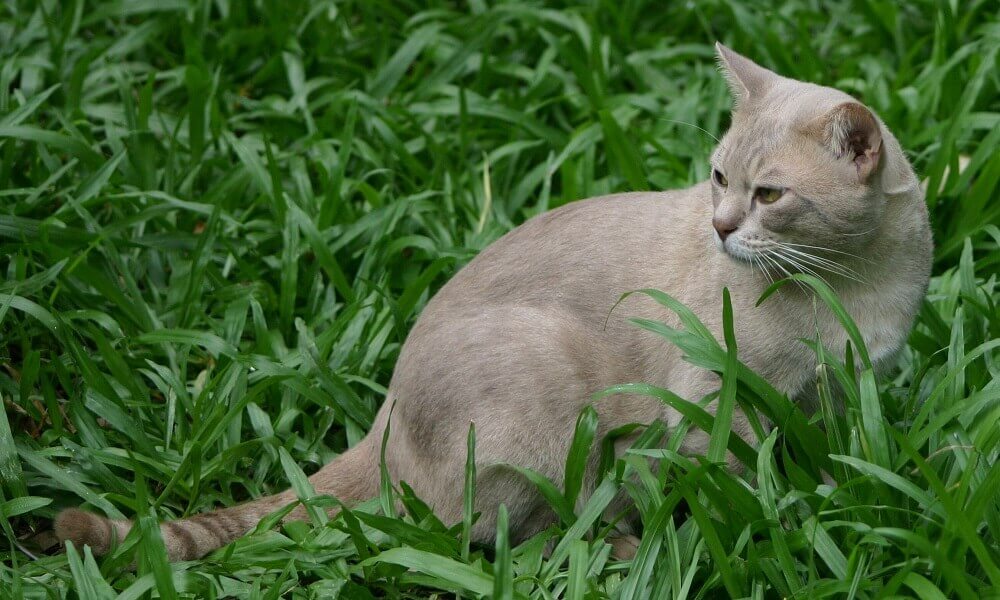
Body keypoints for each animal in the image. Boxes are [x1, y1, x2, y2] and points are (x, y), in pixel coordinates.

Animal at [52, 43, 928, 564]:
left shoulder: (838, 399)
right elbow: (744, 482)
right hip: (547, 396)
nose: (719, 229)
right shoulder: (720, 398)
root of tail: (385, 416)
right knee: (504, 531)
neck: (856, 282)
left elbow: (831, 459)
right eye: (718, 178)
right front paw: (767, 528)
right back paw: (613, 553)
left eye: (769, 195)